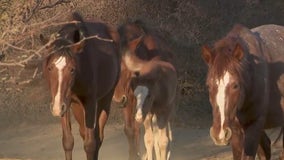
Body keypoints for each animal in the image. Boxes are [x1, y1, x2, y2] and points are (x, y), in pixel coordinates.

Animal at [40, 12, 120, 160]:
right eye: (49, 68)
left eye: (72, 69)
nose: (56, 108)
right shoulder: (65, 103)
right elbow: (68, 141)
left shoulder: (90, 103)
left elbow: (90, 144)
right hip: (76, 106)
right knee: (85, 133)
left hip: (105, 100)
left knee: (98, 137)